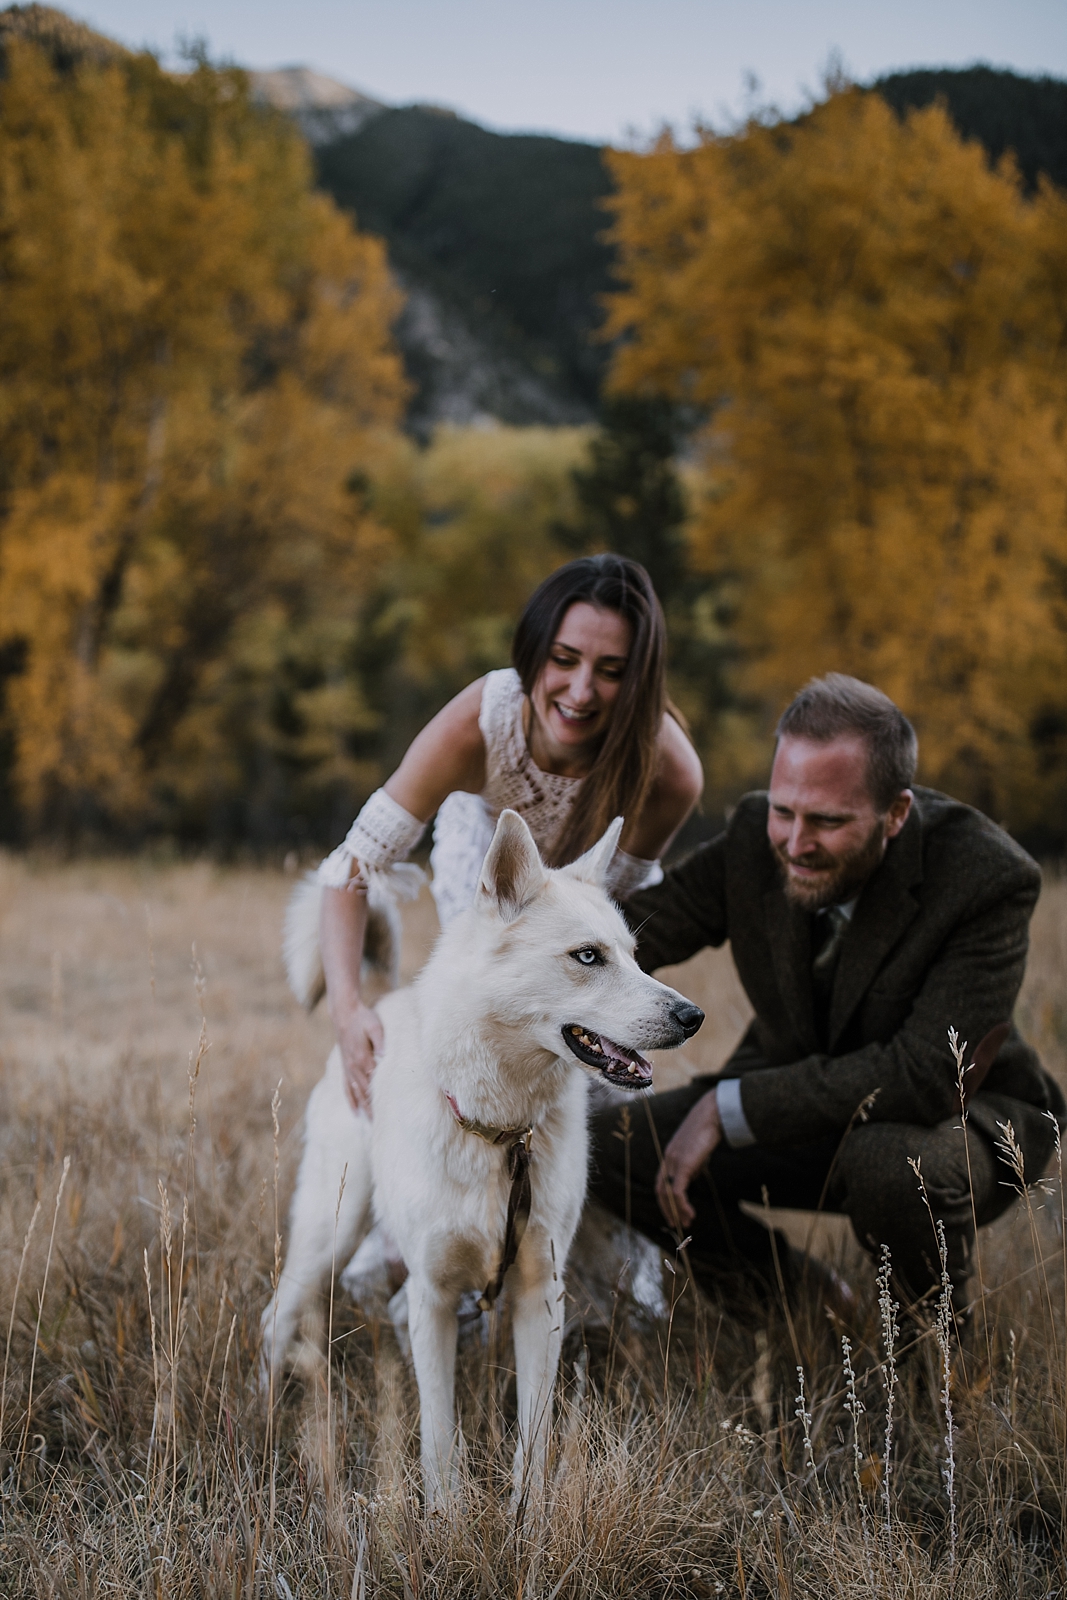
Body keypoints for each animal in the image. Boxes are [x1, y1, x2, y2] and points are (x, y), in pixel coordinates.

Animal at [262, 819, 703, 1504]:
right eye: (588, 957)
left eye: (634, 954)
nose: (692, 1017)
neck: (501, 1133)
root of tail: (382, 1003)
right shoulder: (434, 1294)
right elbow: (439, 1429)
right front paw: (446, 1513)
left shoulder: (540, 1295)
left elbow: (533, 1428)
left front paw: (527, 1514)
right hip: (328, 1233)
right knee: (277, 1313)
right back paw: (262, 1413)